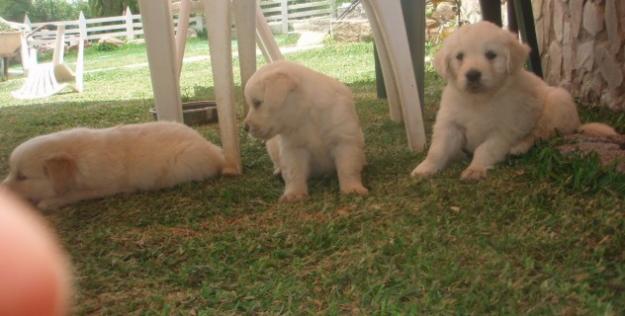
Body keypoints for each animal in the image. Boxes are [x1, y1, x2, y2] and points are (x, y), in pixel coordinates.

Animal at [1, 121, 227, 210]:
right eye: (11, 171)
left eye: (22, 176)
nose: (2, 190)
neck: (76, 158)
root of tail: (214, 149)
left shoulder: (101, 188)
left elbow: (70, 195)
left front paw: (47, 203)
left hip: (182, 164)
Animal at [244, 60, 368, 201]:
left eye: (257, 103)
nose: (245, 127)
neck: (306, 115)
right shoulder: (293, 149)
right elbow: (294, 173)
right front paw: (294, 194)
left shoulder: (345, 141)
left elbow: (348, 168)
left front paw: (352, 189)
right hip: (271, 146)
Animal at [410, 21, 616, 180]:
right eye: (459, 56)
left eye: (491, 55)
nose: (473, 75)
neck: (480, 99)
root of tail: (577, 123)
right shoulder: (449, 124)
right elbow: (438, 149)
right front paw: (425, 168)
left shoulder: (504, 130)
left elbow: (485, 149)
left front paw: (475, 169)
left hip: (557, 103)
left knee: (539, 134)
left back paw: (519, 147)